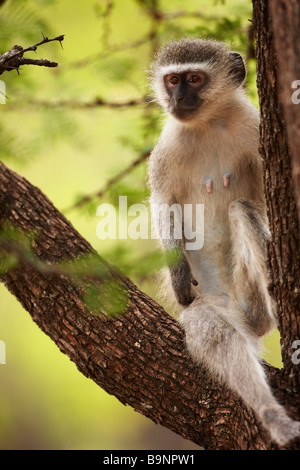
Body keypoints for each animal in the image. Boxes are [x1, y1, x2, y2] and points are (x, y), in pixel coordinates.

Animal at [147, 38, 300, 446]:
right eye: (172, 80)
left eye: (195, 79)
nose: (177, 99)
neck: (208, 123)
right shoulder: (166, 148)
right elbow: (162, 203)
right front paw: (178, 277)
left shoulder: (254, 127)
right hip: (215, 303)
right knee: (215, 332)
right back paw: (274, 417)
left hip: (250, 298)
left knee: (241, 209)